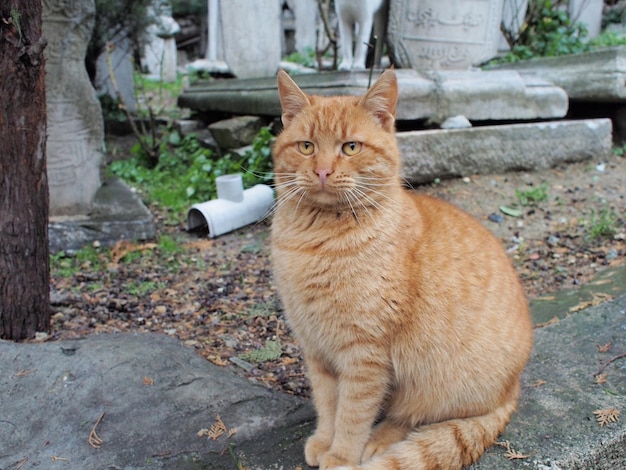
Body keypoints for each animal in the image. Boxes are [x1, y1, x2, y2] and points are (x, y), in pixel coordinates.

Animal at [270, 70, 532, 470]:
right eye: (306, 146)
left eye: (350, 147)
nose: (322, 171)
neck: (317, 241)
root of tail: (513, 388)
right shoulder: (316, 349)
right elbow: (328, 404)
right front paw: (324, 441)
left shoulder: (364, 354)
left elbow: (352, 413)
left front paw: (341, 455)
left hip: (436, 385)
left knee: (413, 418)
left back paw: (377, 443)